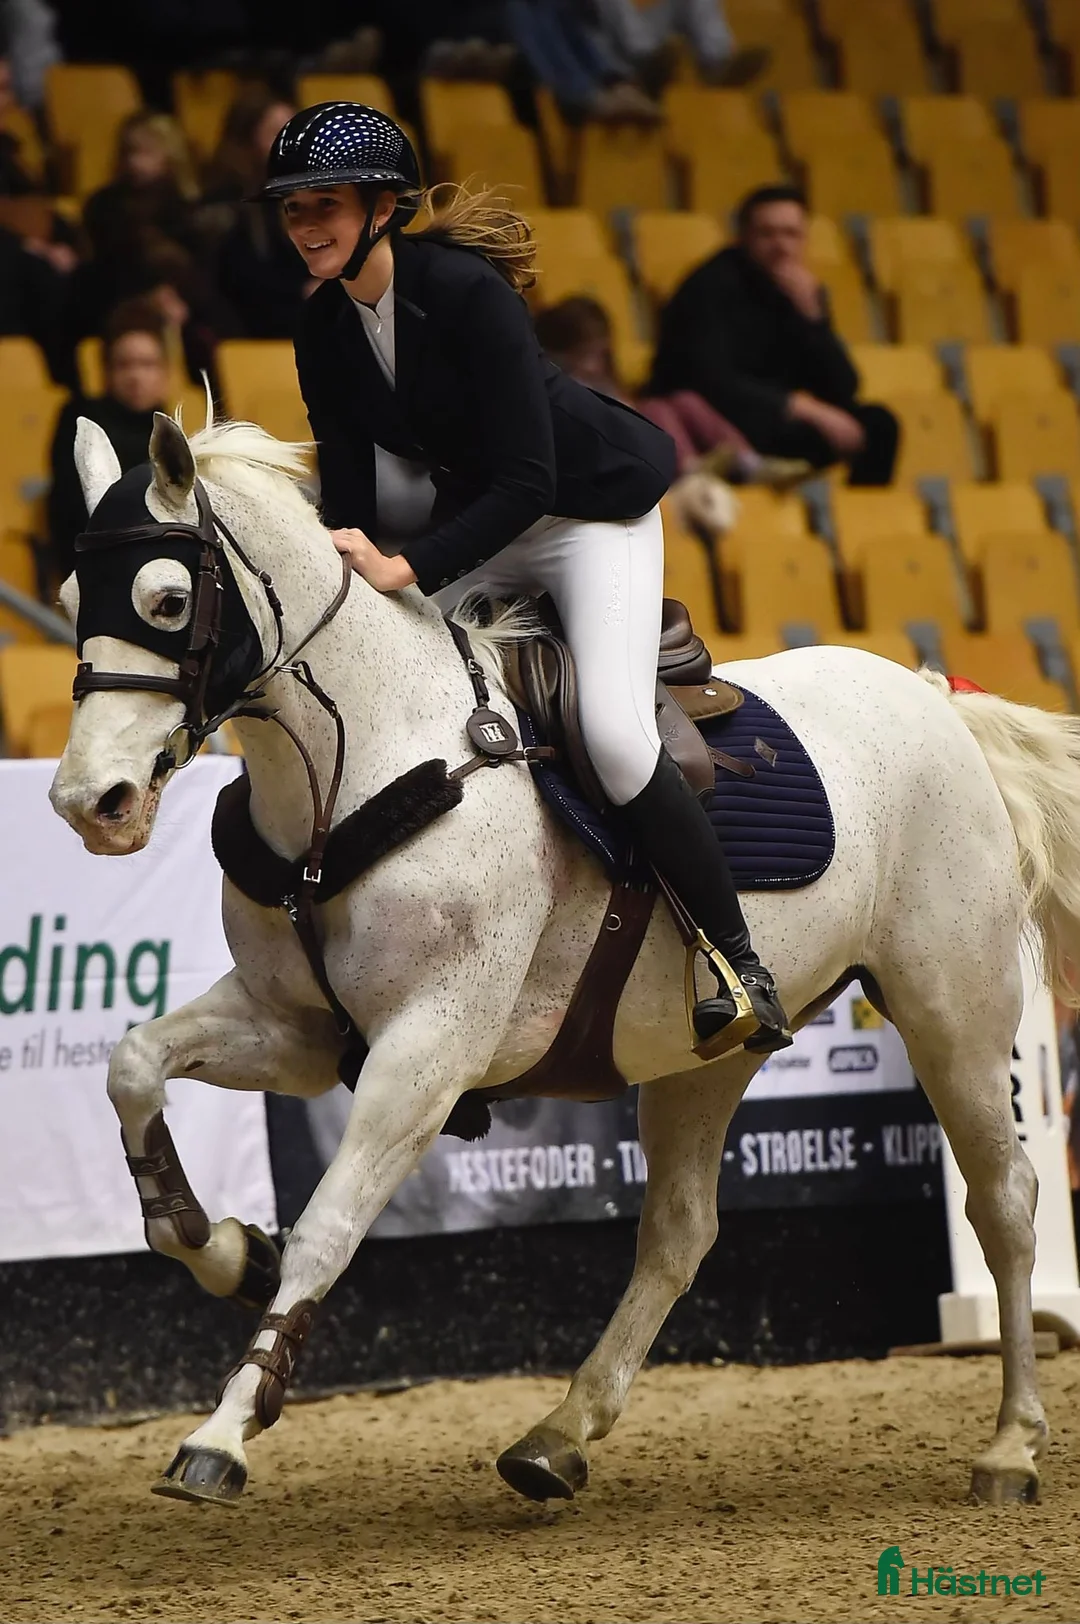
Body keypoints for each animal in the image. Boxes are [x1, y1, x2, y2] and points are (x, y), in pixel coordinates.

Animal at [49, 407, 1080, 1511]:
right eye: (70, 601)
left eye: (166, 601)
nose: (89, 803)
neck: (353, 765)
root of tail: (938, 697)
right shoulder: (297, 1030)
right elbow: (134, 1067)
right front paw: (227, 1246)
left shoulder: (427, 1050)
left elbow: (328, 1227)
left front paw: (225, 1430)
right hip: (707, 1056)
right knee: (678, 1231)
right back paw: (558, 1433)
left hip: (953, 1010)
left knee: (1005, 1203)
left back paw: (1011, 1445)